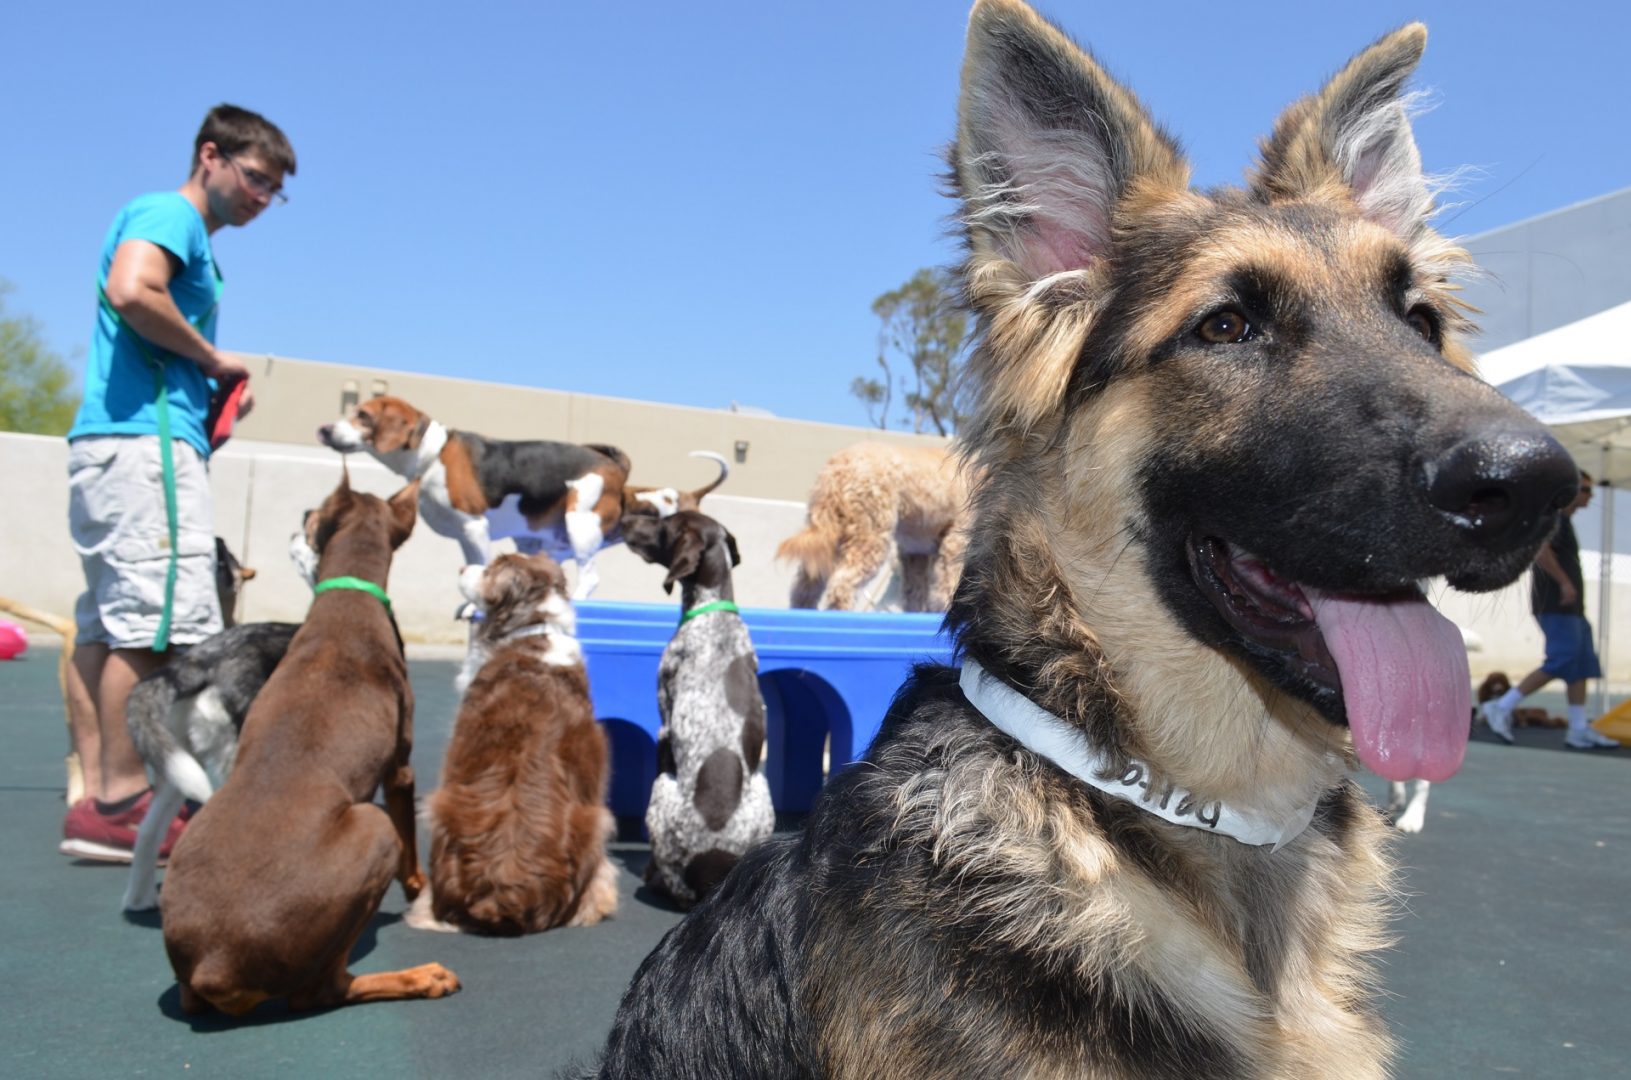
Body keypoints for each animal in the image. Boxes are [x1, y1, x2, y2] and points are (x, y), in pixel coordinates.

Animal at [159, 473, 459, 1018]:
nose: (300, 513)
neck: (345, 599)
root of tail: (214, 966)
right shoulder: (399, 769)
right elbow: (410, 835)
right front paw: (417, 885)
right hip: (373, 827)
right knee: (321, 990)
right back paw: (420, 977)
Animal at [623, 512, 776, 907]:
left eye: (663, 525)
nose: (628, 519)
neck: (713, 610)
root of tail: (712, 870)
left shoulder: (664, 724)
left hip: (661, 790)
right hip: (762, 787)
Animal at [776, 440, 965, 610]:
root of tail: (836, 468)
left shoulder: (916, 552)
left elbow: (915, 592)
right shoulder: (954, 543)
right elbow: (947, 585)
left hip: (831, 536)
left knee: (804, 586)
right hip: (870, 534)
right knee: (842, 584)